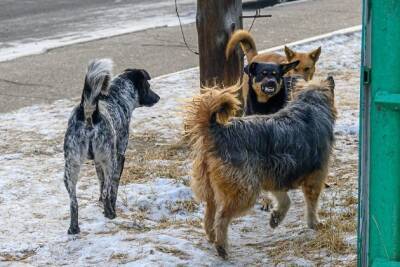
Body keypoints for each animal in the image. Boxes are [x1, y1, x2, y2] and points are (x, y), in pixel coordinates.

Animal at [63, 59, 159, 234]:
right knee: (107, 189)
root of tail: (89, 112)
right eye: (148, 86)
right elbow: (113, 188)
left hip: (70, 167)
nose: (158, 97)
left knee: (74, 201)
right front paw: (110, 208)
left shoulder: (97, 161)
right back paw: (110, 214)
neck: (118, 96)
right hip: (110, 161)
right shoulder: (119, 156)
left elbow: (100, 183)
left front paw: (100, 203)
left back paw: (74, 228)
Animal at [186, 77, 336, 260]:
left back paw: (212, 236)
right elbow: (311, 205)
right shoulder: (315, 177)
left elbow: (285, 200)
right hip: (244, 190)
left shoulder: (273, 175)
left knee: (210, 212)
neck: (310, 104)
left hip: (212, 186)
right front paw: (314, 223)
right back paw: (221, 247)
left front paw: (276, 218)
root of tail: (218, 130)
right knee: (222, 218)